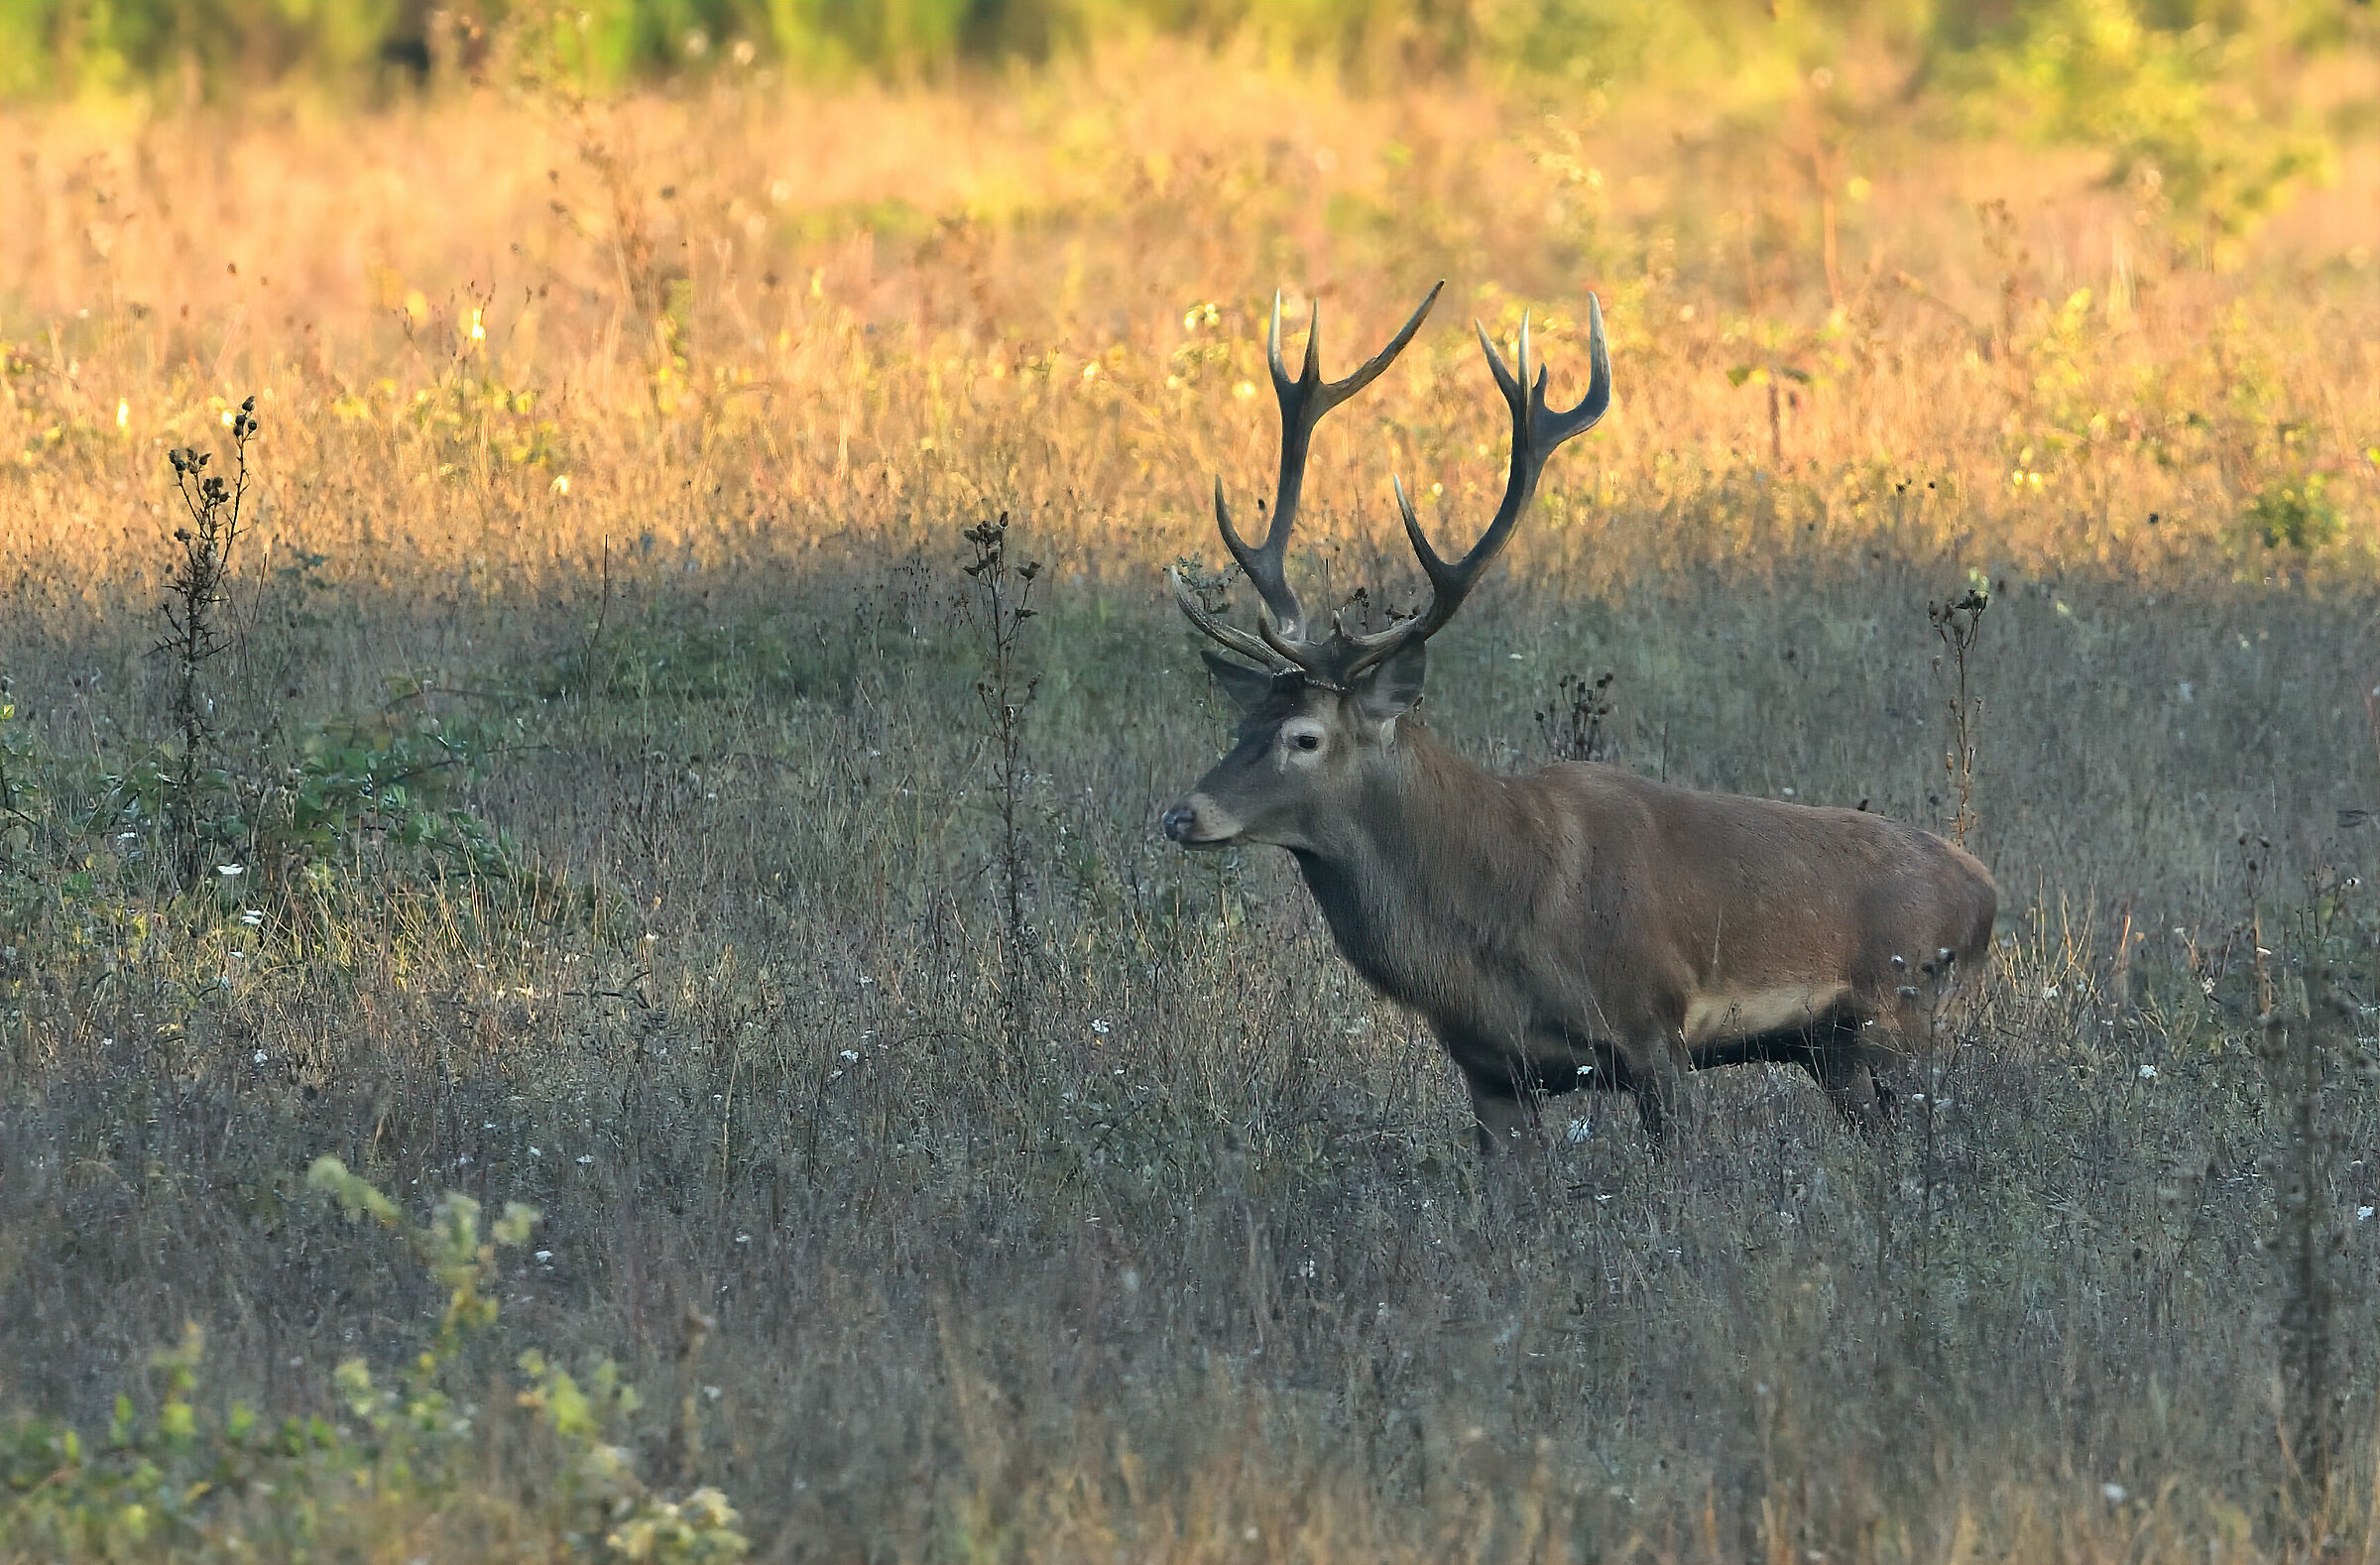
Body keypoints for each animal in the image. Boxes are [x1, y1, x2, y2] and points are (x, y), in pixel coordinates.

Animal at [1159, 283, 1997, 1151]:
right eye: (1241, 727)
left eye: (1306, 737)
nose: (1182, 815)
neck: (1492, 923)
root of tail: (1985, 890)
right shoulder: (1491, 1069)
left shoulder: (1655, 1029)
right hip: (1832, 1051)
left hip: (1903, 1017)